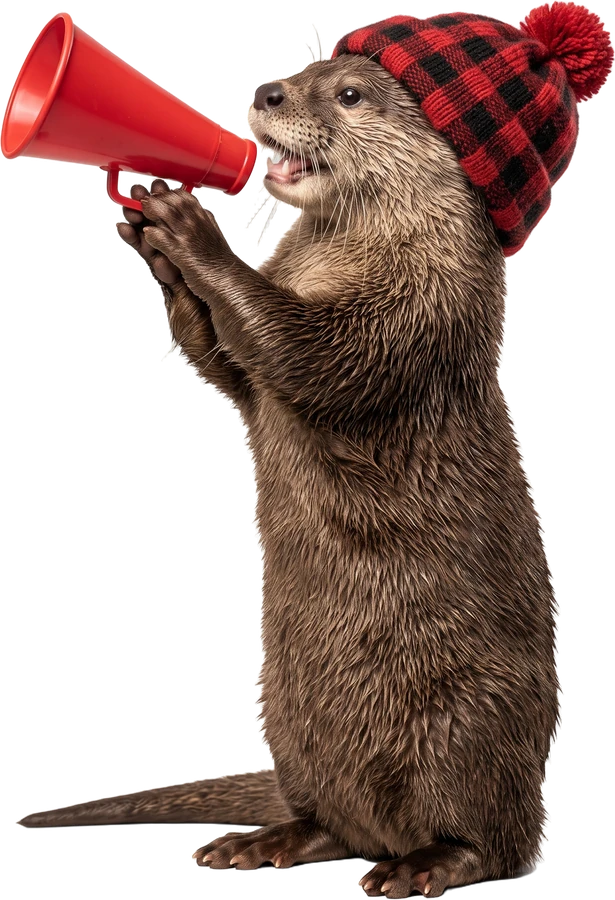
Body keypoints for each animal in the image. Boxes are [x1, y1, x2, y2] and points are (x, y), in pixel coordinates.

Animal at [18, 50, 561, 899]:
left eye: (349, 93)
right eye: (308, 66)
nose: (269, 93)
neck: (345, 254)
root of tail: (387, 828)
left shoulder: (415, 309)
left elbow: (306, 352)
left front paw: (194, 233)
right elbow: (227, 366)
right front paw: (154, 245)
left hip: (470, 722)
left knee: (497, 841)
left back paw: (423, 864)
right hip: (286, 715)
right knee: (333, 820)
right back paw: (266, 839)